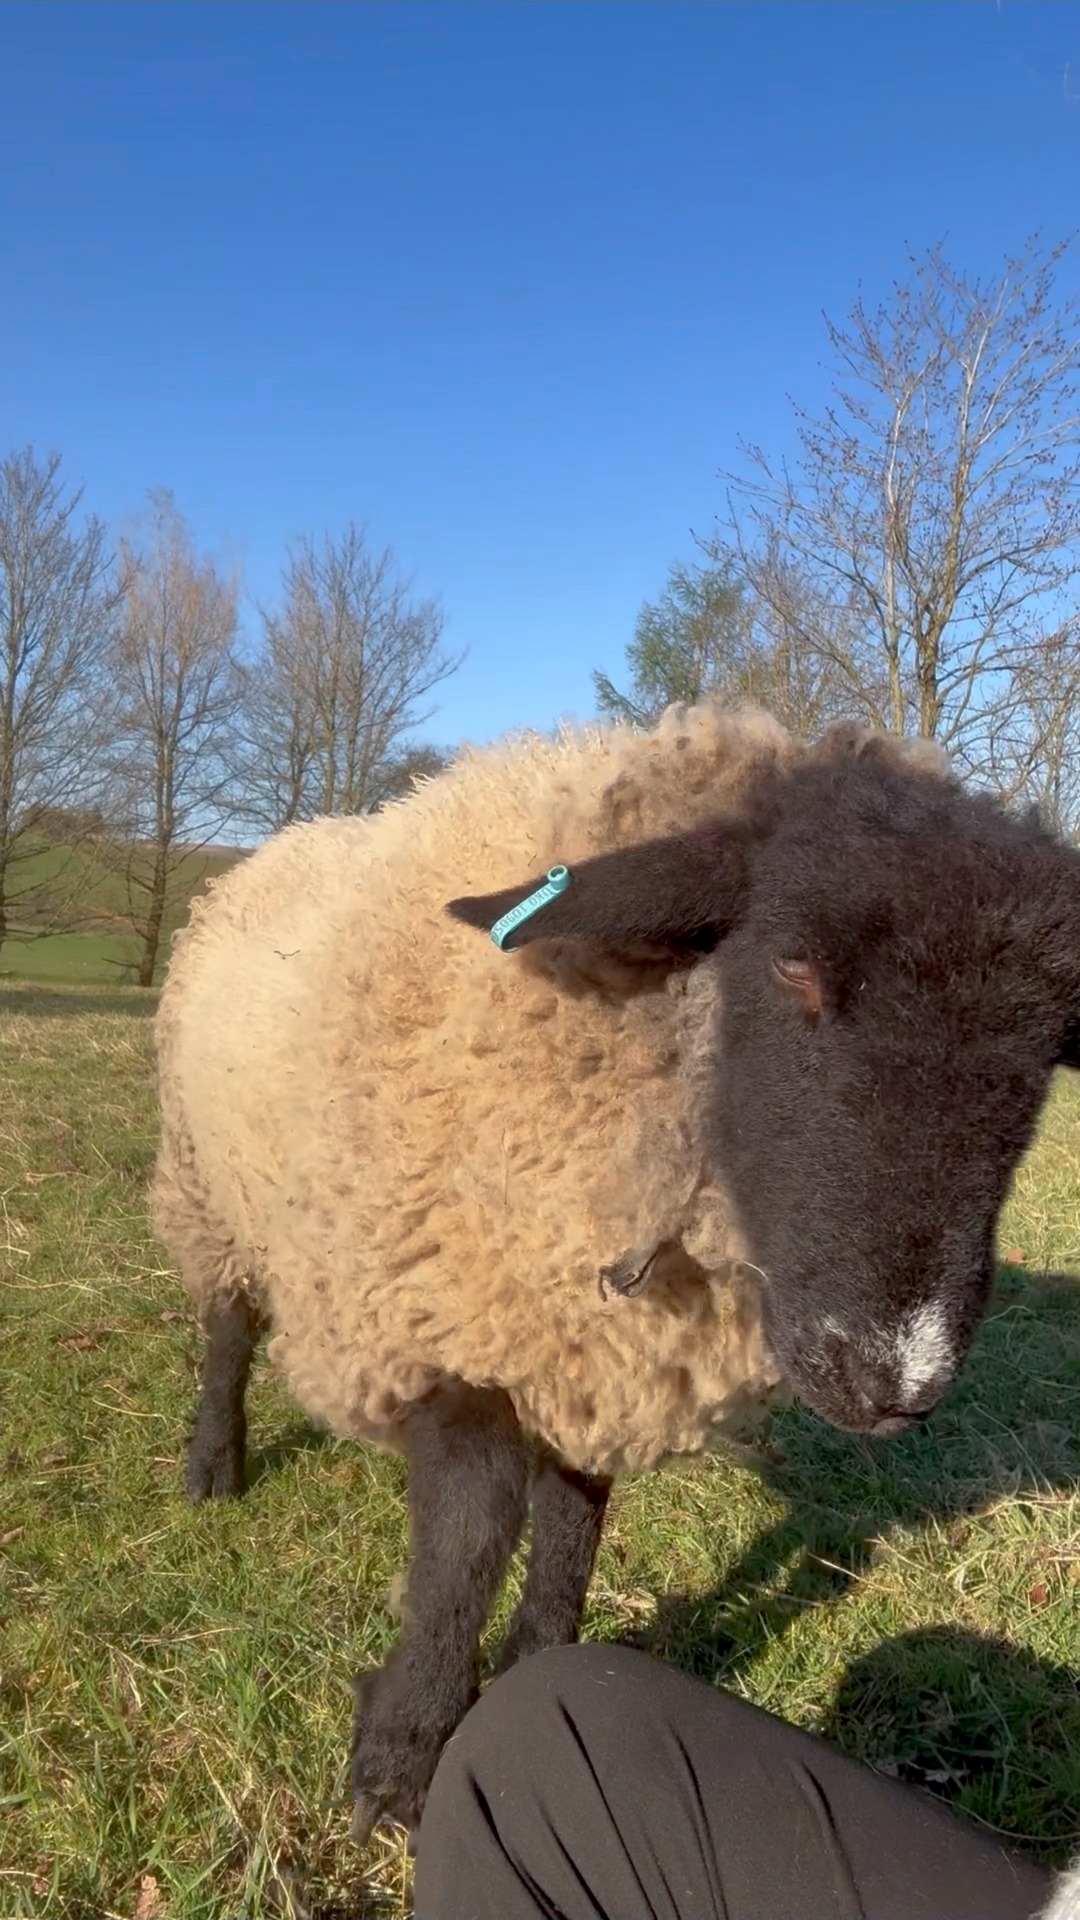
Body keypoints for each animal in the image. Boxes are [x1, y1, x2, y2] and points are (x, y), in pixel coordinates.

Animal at [152, 700, 1080, 1843]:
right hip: (207, 1181)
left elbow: (575, 1514)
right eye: (793, 969)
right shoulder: (440, 1315)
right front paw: (402, 1754)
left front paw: (538, 1668)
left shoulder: (591, 1345)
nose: (896, 1376)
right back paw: (214, 1466)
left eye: (1047, 1050)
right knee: (228, 1327)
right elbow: (471, 1529)